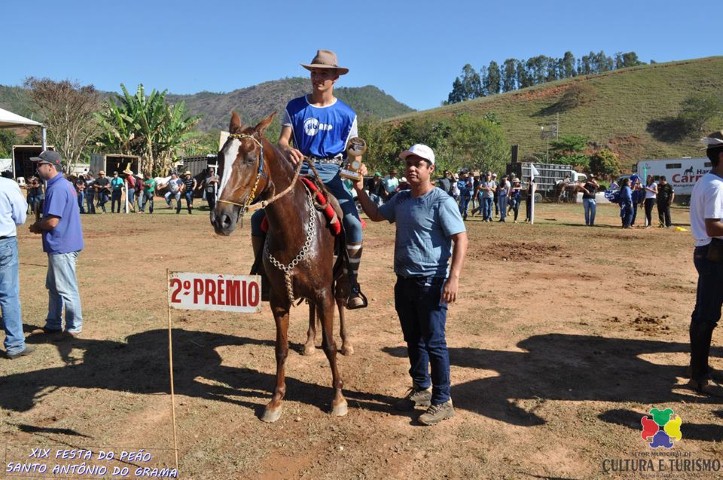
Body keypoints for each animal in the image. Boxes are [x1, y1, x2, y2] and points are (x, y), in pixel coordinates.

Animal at [211, 110, 350, 422]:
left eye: (250, 159)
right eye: (220, 159)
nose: (221, 219)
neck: (294, 227)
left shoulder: (323, 291)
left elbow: (330, 345)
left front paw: (338, 398)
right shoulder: (278, 299)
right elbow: (281, 349)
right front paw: (275, 401)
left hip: (338, 280)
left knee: (341, 303)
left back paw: (347, 341)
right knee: (310, 312)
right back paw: (309, 342)